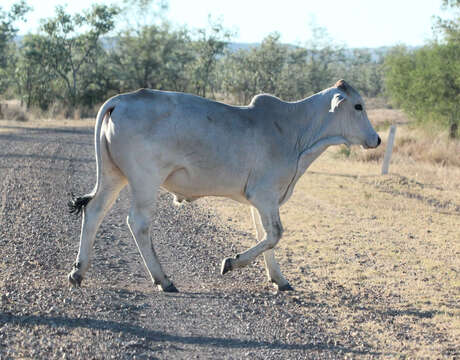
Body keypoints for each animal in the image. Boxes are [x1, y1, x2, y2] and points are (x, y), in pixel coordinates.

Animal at [67, 79, 380, 292]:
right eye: (358, 106)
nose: (376, 139)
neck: (295, 130)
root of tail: (122, 100)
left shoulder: (260, 201)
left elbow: (266, 237)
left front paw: (279, 279)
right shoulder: (265, 196)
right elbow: (275, 235)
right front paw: (230, 263)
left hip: (113, 176)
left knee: (94, 211)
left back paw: (78, 272)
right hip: (145, 181)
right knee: (138, 223)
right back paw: (163, 279)